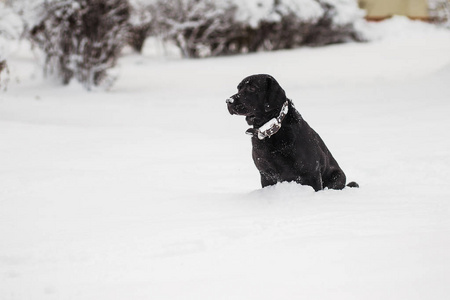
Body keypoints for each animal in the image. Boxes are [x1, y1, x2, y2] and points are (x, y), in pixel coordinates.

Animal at [227, 75, 356, 192]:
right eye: (238, 88)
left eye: (252, 88)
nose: (228, 101)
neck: (273, 130)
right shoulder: (266, 175)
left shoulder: (312, 173)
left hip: (337, 176)